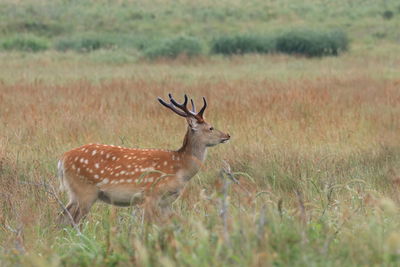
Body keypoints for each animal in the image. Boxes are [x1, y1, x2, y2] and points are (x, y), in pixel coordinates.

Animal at [57, 94, 230, 226]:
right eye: (210, 127)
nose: (227, 135)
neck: (181, 168)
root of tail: (62, 159)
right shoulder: (151, 194)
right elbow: (146, 224)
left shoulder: (166, 201)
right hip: (85, 191)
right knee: (72, 219)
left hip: (75, 193)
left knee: (62, 216)